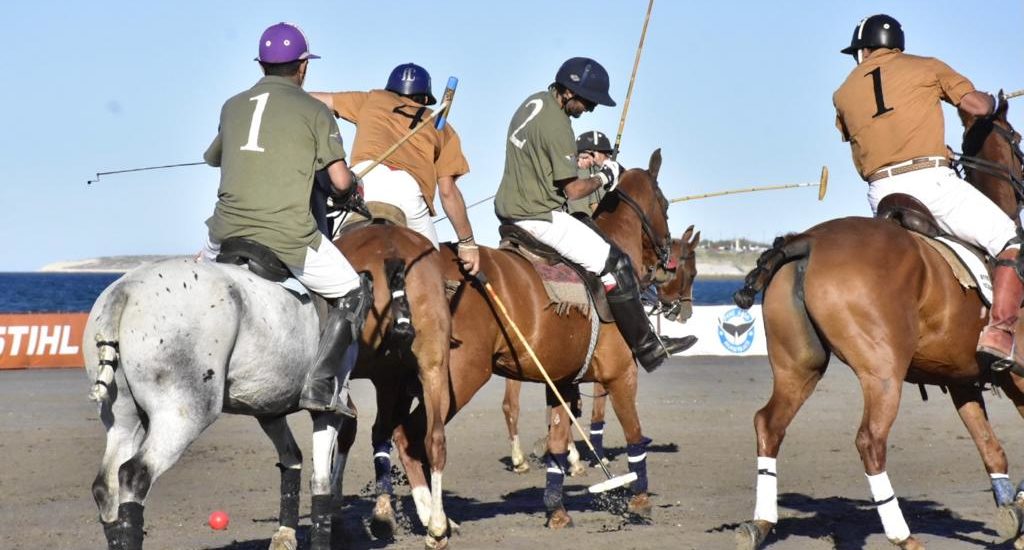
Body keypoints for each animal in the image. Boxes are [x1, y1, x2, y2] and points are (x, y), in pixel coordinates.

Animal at [499, 225, 700, 473]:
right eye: (692, 274)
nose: (686, 312)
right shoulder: (607, 369)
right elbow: (596, 410)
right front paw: (593, 457)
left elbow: (568, 409)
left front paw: (566, 453)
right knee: (512, 405)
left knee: (509, 405)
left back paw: (521, 458)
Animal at [733, 99, 1024, 548]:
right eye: (1017, 139)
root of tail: (806, 241)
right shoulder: (1018, 377)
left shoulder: (962, 380)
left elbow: (992, 449)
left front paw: (1013, 514)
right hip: (883, 370)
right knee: (870, 441)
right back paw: (904, 536)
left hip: (798, 365)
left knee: (768, 423)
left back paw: (760, 523)